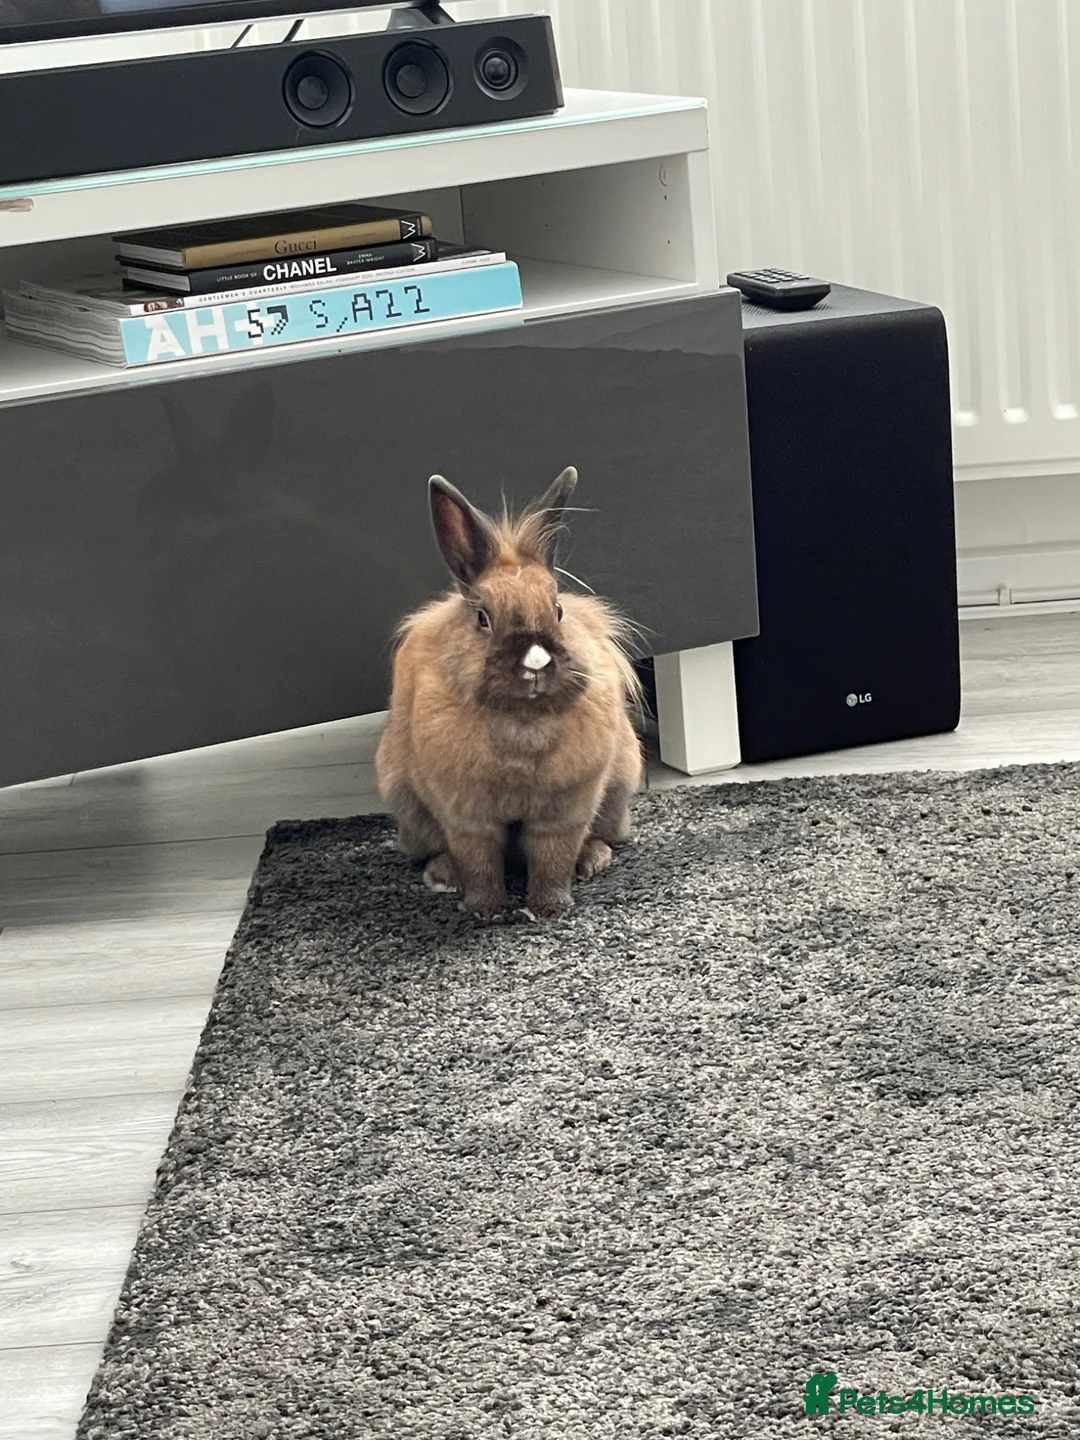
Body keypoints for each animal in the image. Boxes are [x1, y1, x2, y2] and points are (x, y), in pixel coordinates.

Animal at [375, 466, 644, 919]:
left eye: (557, 609)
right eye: (483, 617)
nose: (535, 661)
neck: (523, 719)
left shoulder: (565, 812)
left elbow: (552, 859)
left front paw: (549, 908)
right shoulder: (466, 815)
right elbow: (480, 862)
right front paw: (485, 910)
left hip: (617, 793)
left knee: (602, 837)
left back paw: (592, 861)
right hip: (407, 806)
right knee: (433, 850)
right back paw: (443, 876)